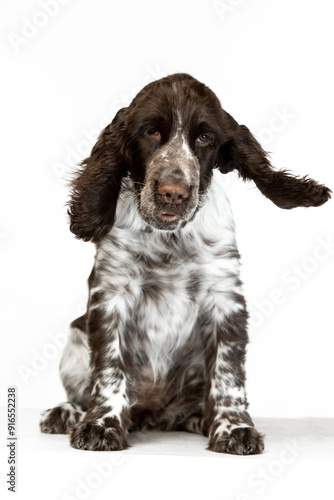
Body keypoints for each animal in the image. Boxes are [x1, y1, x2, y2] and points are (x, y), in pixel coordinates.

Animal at [40, 73, 330, 454]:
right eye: (150, 131)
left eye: (205, 138)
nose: (173, 192)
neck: (169, 239)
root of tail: (153, 415)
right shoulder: (111, 292)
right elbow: (109, 367)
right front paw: (101, 424)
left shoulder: (225, 296)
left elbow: (228, 371)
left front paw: (233, 428)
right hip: (76, 336)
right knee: (83, 390)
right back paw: (68, 412)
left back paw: (199, 420)